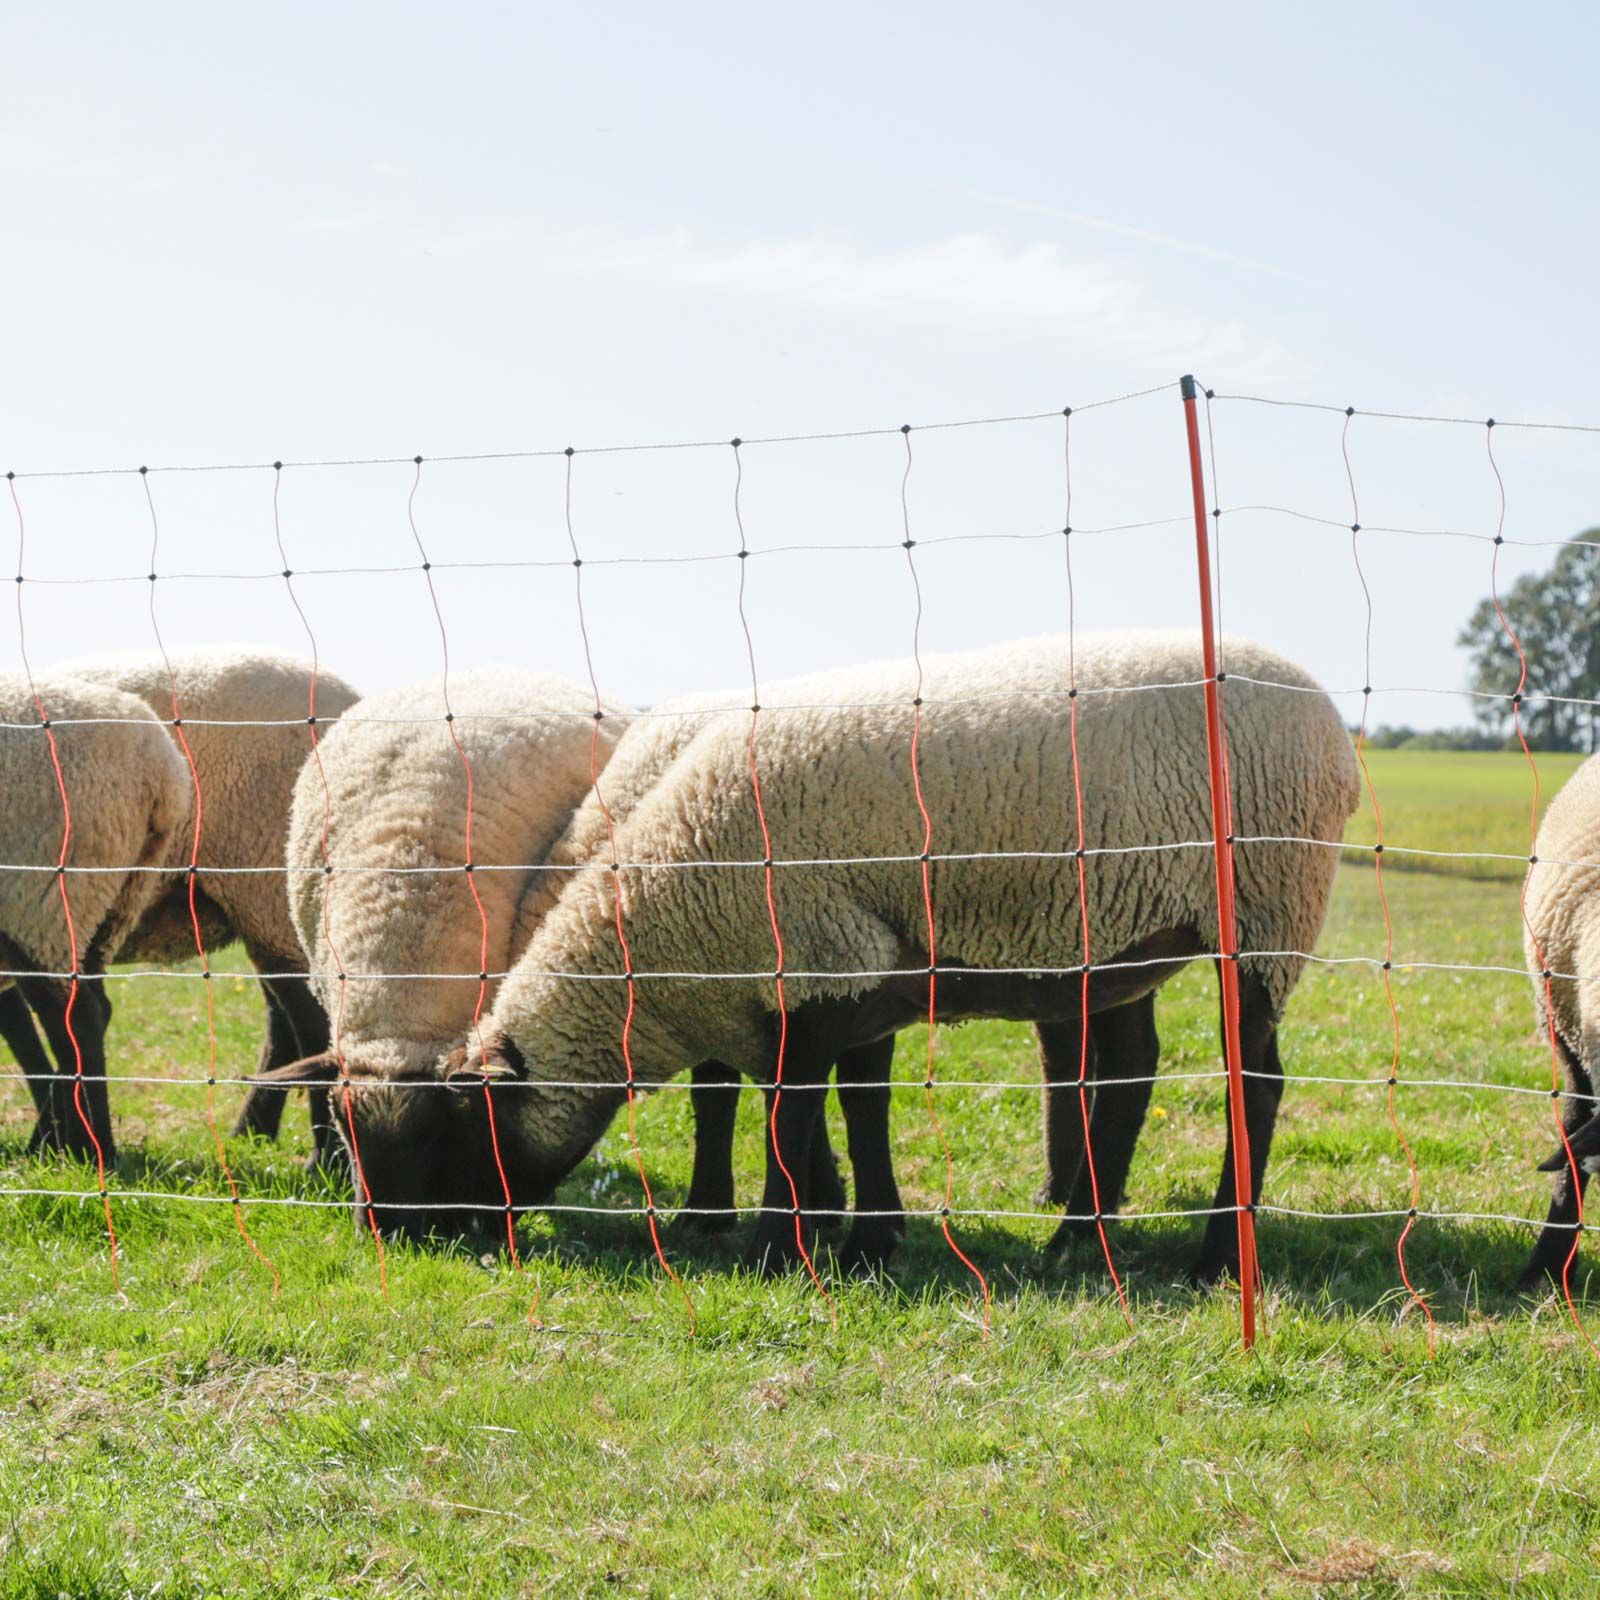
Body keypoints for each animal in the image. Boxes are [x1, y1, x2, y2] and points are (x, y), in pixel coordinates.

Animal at [0, 672, 191, 1160]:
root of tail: (161, 773)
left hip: (45, 895)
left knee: (75, 1017)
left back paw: (90, 1148)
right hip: (111, 899)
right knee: (95, 1009)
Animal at [54, 646, 361, 1161]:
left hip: (267, 882)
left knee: (310, 1022)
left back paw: (325, 1159)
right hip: (261, 905)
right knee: (285, 1020)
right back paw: (253, 1131)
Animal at [323, 631, 1360, 1281]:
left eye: (452, 1136)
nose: (403, 1239)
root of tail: (1334, 728)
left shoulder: (814, 969)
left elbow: (790, 1119)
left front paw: (781, 1245)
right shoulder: (853, 978)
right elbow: (855, 1111)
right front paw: (861, 1237)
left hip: (1266, 903)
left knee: (1255, 1080)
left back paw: (1216, 1257)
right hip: (1127, 932)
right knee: (1131, 1071)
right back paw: (1079, 1235)